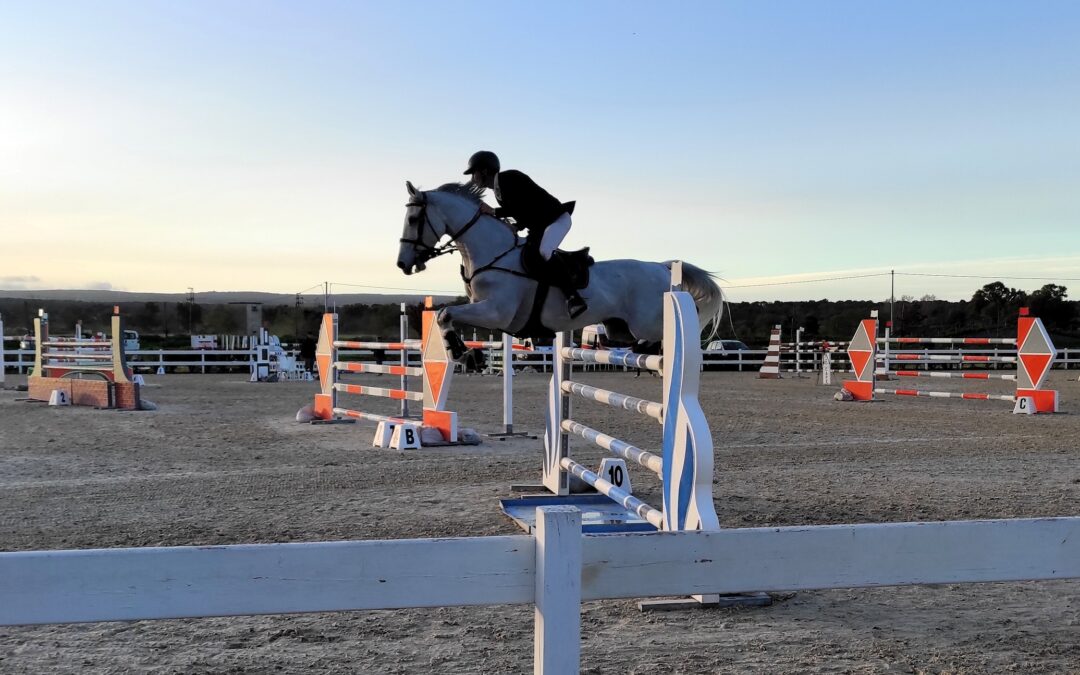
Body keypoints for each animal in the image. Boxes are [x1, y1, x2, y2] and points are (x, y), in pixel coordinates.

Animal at [397, 181, 725, 356]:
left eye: (413, 220)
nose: (403, 264)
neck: (492, 253)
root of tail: (659, 267)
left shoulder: (495, 312)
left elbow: (445, 313)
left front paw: (463, 354)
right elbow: (444, 315)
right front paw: (463, 354)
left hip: (647, 322)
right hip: (619, 329)